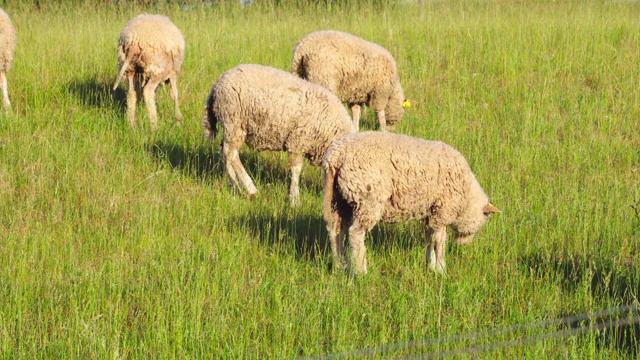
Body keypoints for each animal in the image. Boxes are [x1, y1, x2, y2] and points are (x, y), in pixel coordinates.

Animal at [202, 63, 356, 207]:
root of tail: (217, 84)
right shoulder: (297, 141)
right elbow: (296, 171)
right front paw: (294, 199)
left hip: (231, 125)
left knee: (225, 151)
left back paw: (234, 186)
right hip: (234, 120)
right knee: (231, 153)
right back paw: (250, 188)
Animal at [322, 131, 498, 274]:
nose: (464, 244)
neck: (467, 194)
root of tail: (335, 156)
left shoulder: (430, 212)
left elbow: (429, 238)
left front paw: (430, 265)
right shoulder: (443, 210)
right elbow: (440, 241)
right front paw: (441, 269)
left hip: (339, 199)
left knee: (335, 231)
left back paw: (341, 266)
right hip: (367, 198)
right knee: (355, 234)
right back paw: (360, 270)